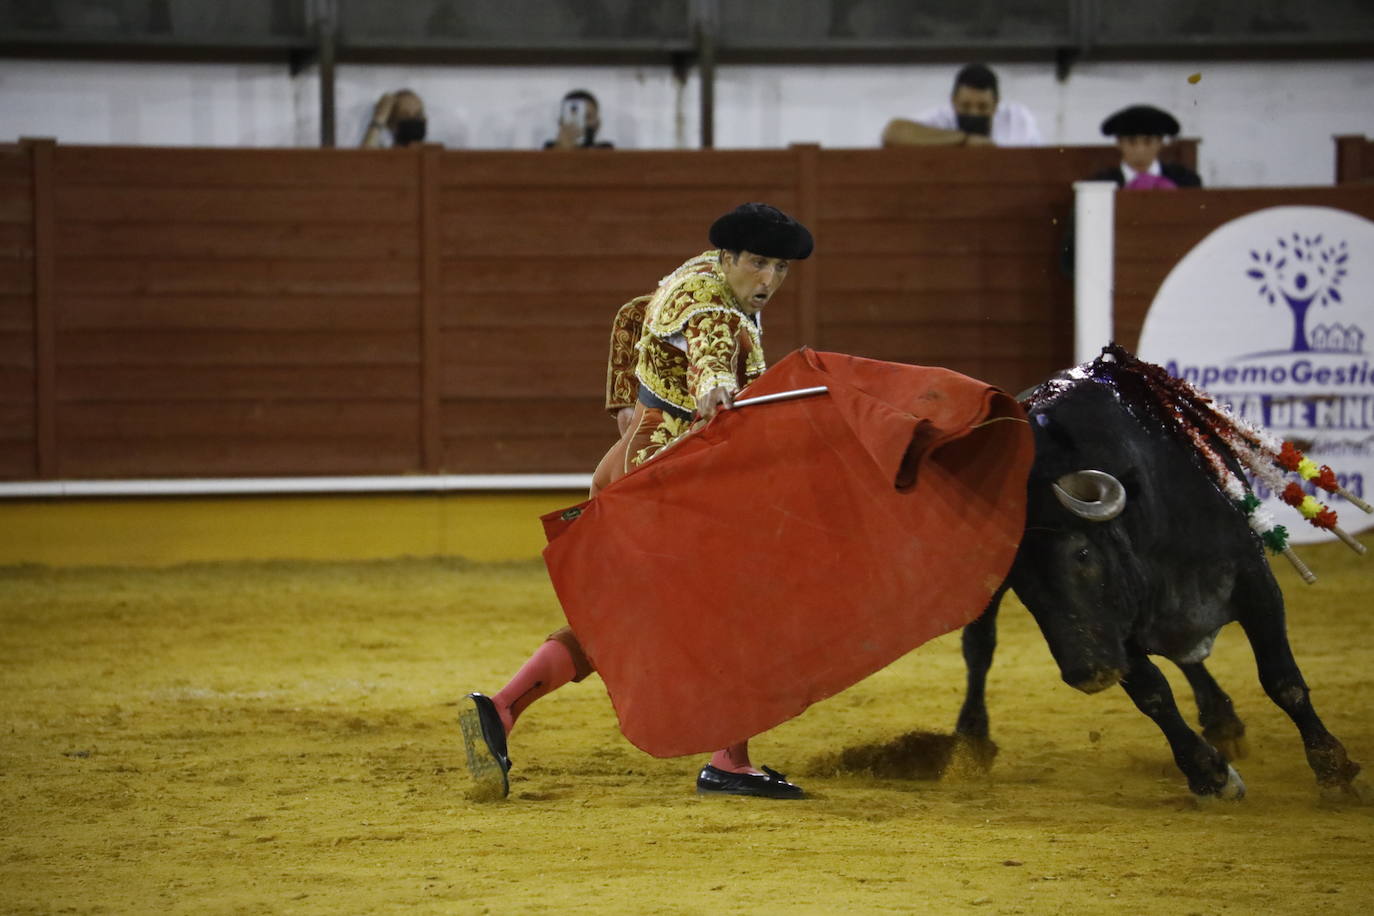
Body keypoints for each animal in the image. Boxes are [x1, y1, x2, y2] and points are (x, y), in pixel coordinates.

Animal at [956, 376, 1363, 796]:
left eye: (1082, 553)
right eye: (1019, 580)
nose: (1087, 673)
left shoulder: (1256, 586)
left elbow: (1281, 679)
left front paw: (1331, 766)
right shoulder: (1117, 632)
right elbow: (1153, 695)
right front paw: (1209, 773)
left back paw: (1223, 721)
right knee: (980, 645)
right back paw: (971, 742)